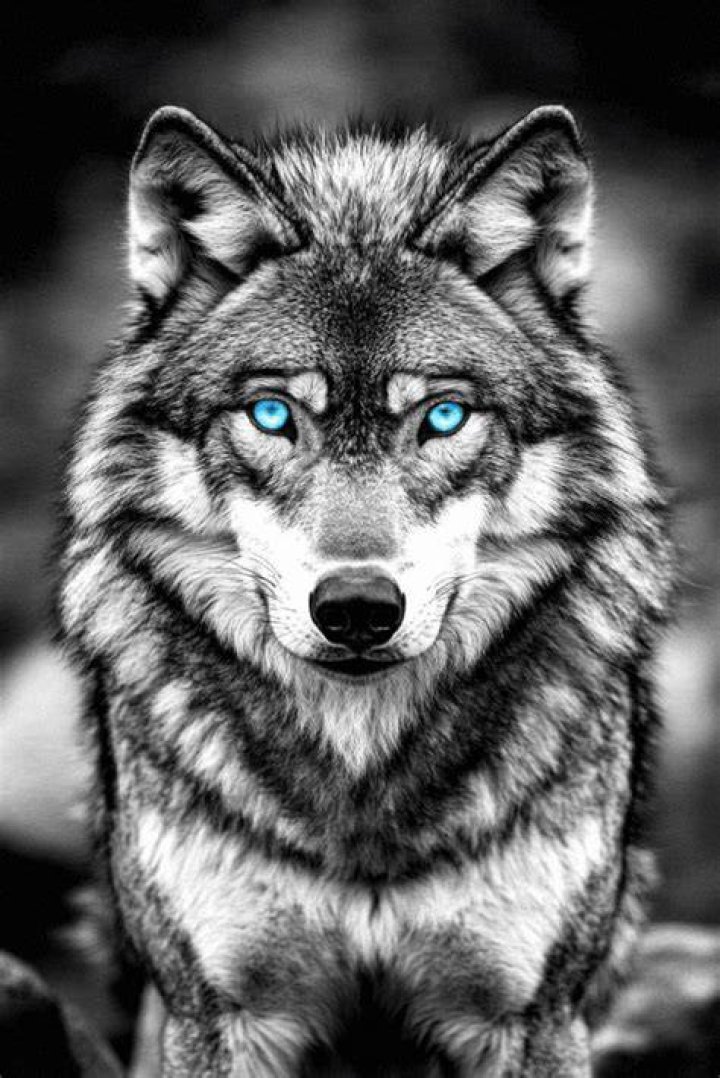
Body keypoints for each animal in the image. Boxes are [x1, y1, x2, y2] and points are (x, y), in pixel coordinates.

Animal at [57, 103, 674, 1076]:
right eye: (273, 414)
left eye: (444, 416)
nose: (356, 609)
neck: (361, 777)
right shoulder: (220, 1012)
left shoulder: (533, 1011)